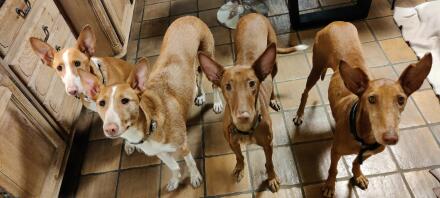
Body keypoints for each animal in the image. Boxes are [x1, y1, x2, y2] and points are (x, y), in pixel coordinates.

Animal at [79, 16, 217, 190]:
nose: (110, 128)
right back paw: (200, 95)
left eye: (125, 100)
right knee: (197, 78)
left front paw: (195, 177)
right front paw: (175, 180)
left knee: (214, 84)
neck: (149, 124)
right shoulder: (160, 152)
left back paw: (217, 103)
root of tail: (188, 17)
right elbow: (174, 166)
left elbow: (190, 162)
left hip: (207, 58)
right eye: (101, 103)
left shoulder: (183, 144)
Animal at [198, 13, 308, 193]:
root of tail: (253, 13)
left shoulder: (268, 144)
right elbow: (239, 156)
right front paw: (239, 168)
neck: (245, 130)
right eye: (227, 86)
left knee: (272, 80)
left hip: (274, 63)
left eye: (252, 83)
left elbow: (269, 163)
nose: (243, 116)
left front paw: (271, 178)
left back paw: (273, 99)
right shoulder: (232, 142)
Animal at [290, 20, 432, 197]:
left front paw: (358, 175)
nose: (390, 138)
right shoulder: (335, 151)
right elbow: (333, 170)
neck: (364, 138)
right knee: (305, 93)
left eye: (401, 100)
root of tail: (338, 22)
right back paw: (299, 115)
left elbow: (357, 162)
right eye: (371, 99)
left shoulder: (369, 153)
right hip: (316, 68)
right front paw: (330, 185)